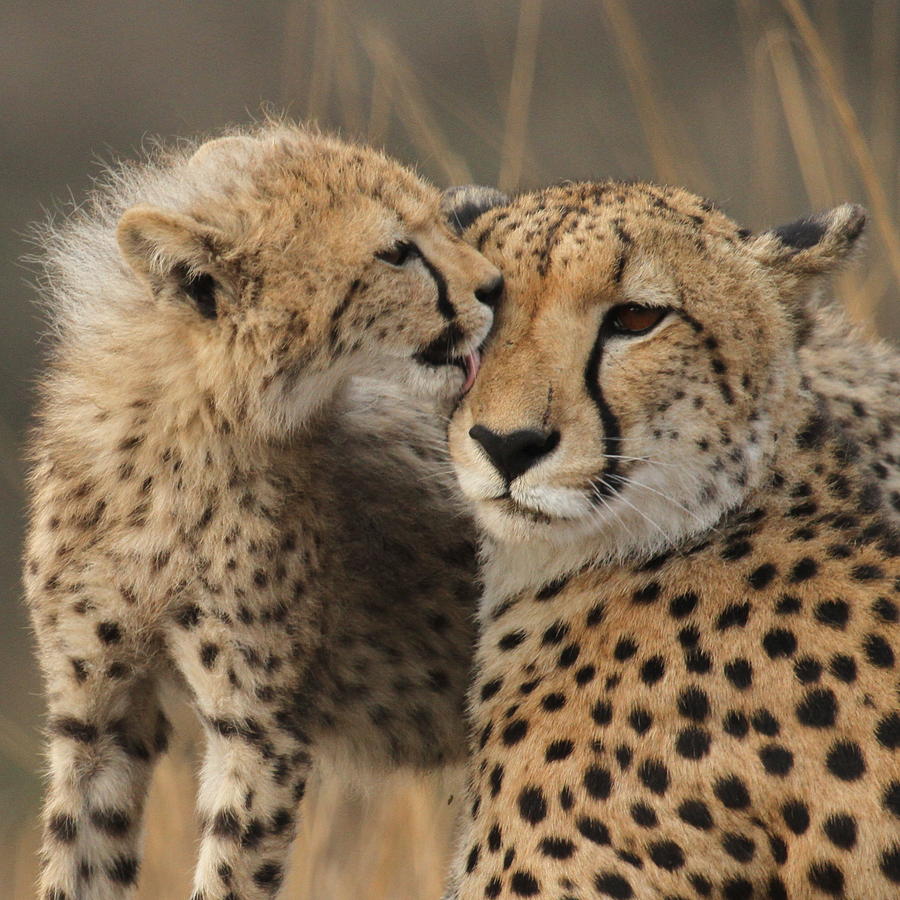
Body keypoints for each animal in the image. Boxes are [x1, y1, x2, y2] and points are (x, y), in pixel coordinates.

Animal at [24, 125, 502, 900]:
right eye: (397, 251)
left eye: (443, 221)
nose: (495, 287)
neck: (183, 428)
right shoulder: (95, 714)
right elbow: (77, 858)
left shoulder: (258, 729)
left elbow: (228, 870)